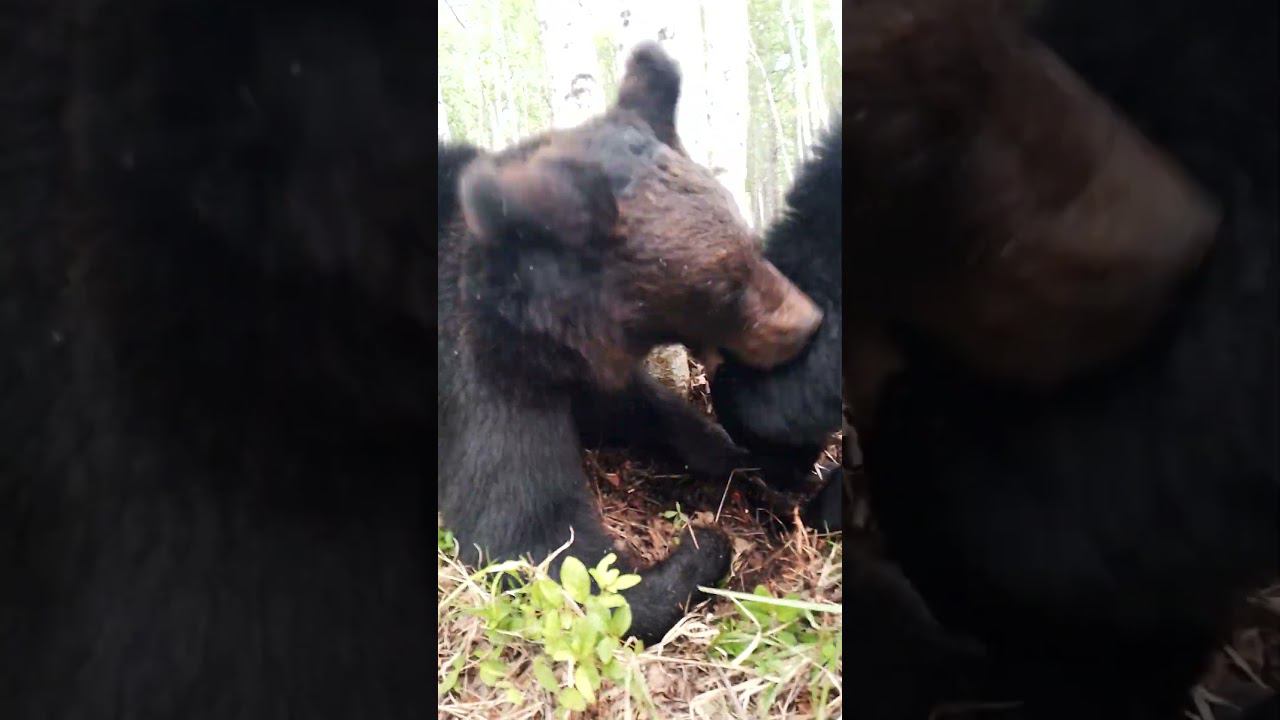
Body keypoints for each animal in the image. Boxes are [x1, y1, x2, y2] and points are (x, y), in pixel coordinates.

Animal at [438, 43, 825, 645]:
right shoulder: (476, 371)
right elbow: (533, 536)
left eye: (748, 240)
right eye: (724, 284)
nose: (809, 322)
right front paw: (699, 547)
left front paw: (726, 452)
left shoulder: (571, 370)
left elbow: (639, 407)